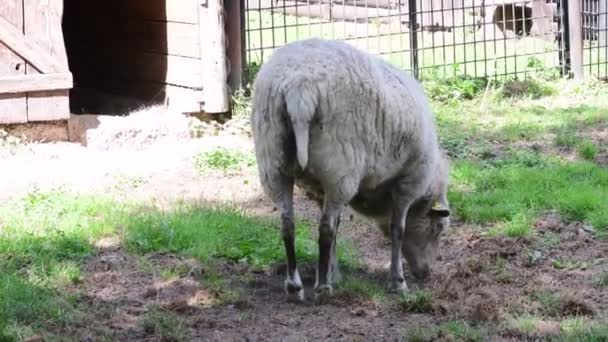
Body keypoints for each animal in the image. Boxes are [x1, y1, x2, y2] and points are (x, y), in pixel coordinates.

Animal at [248, 36, 452, 302]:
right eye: (438, 229)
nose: (426, 273)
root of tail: (299, 89)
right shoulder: (408, 182)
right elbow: (397, 229)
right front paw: (398, 281)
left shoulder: (319, 188)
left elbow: (338, 228)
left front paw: (331, 271)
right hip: (339, 167)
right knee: (324, 229)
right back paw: (323, 289)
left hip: (274, 164)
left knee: (288, 225)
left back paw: (295, 286)